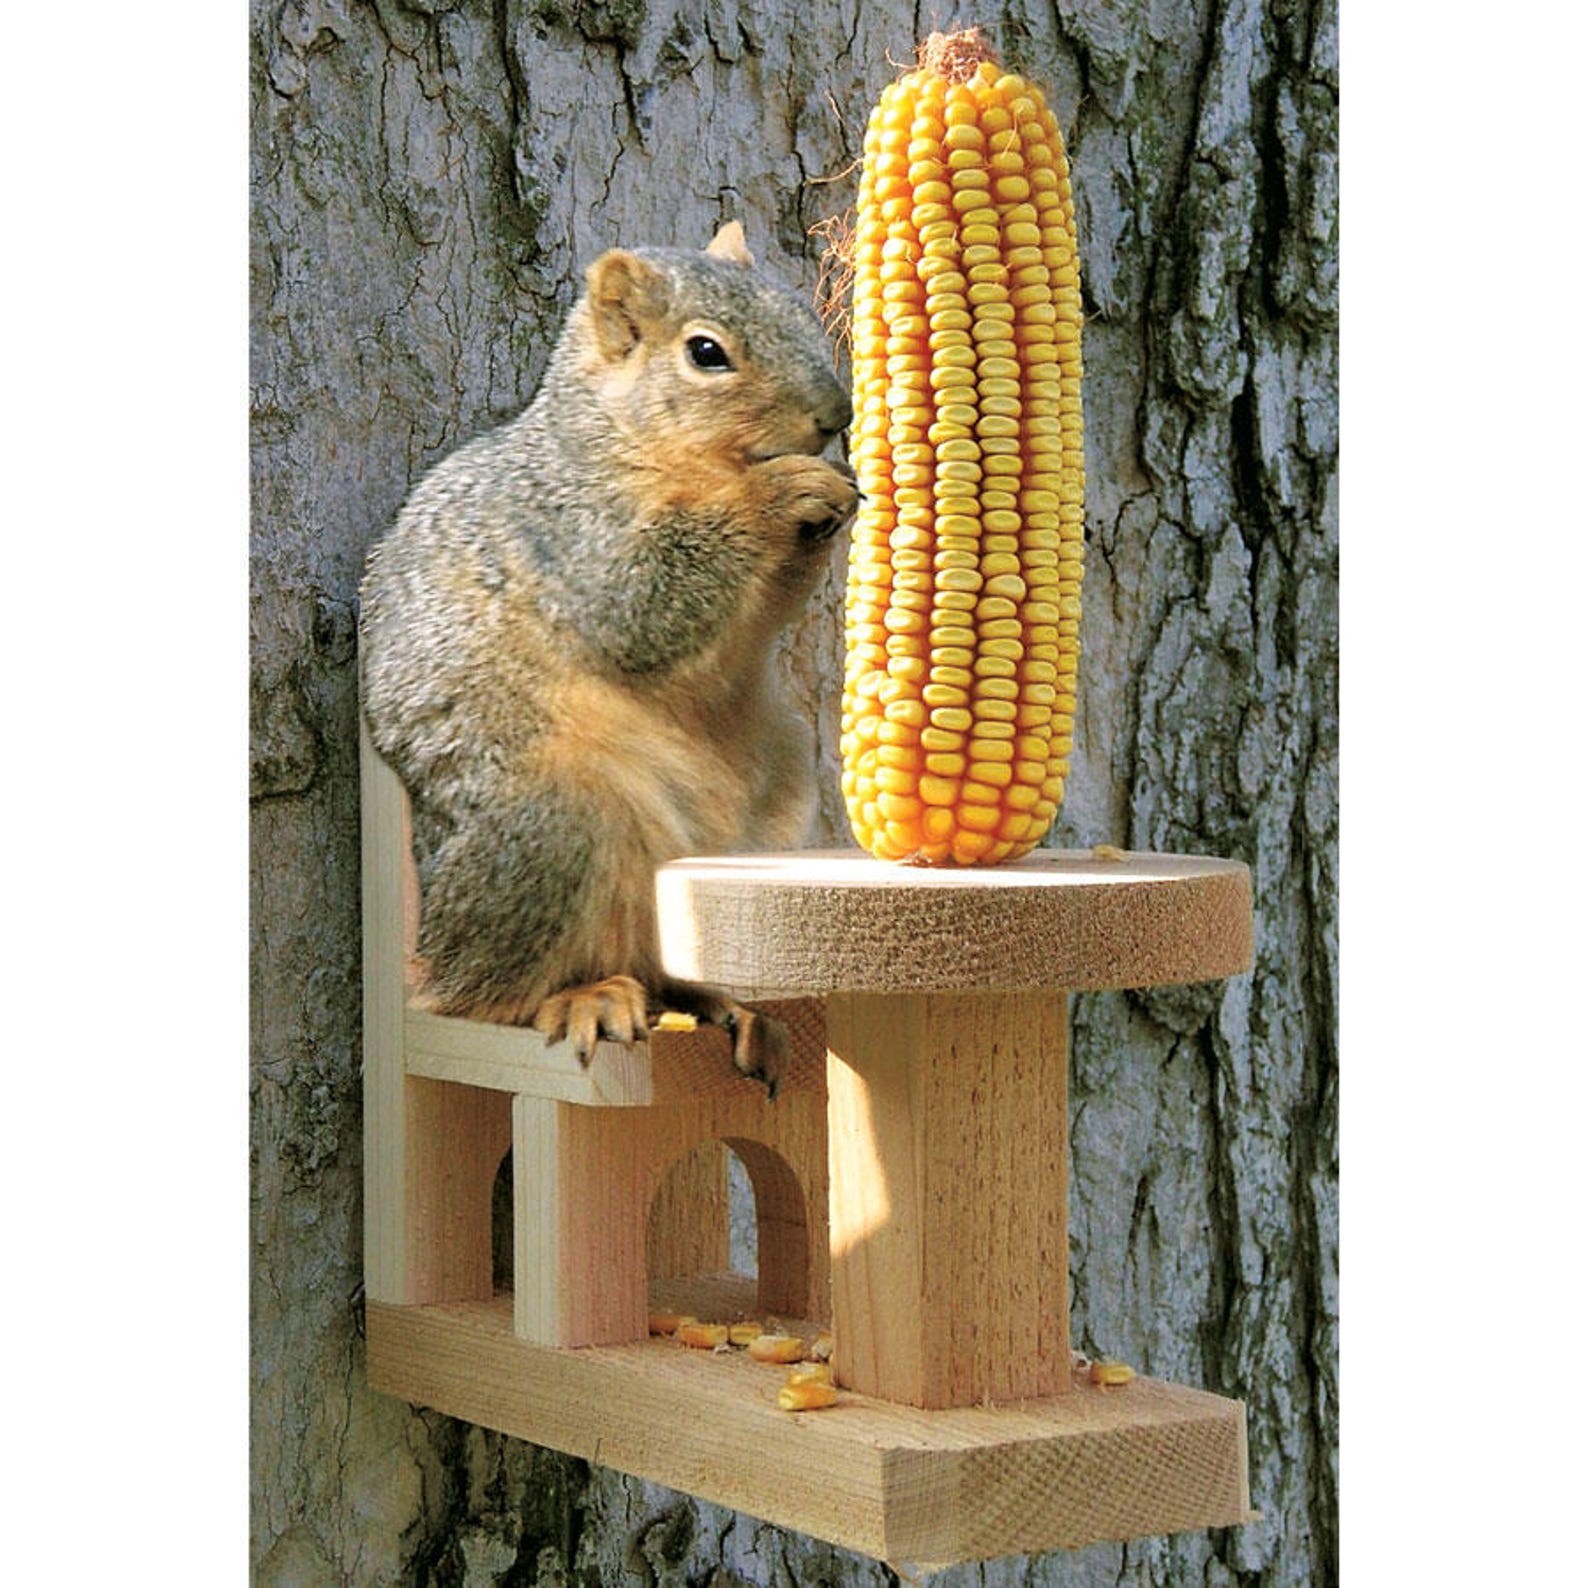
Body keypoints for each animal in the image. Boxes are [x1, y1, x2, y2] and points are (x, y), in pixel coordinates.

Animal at [359, 222, 856, 1092]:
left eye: (799, 309)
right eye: (706, 352)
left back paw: (730, 1005)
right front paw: (781, 494)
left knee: (672, 964)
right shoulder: (563, 532)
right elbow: (642, 601)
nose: (836, 414)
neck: (617, 433)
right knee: (483, 994)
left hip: (766, 807)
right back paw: (582, 997)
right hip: (554, 822)